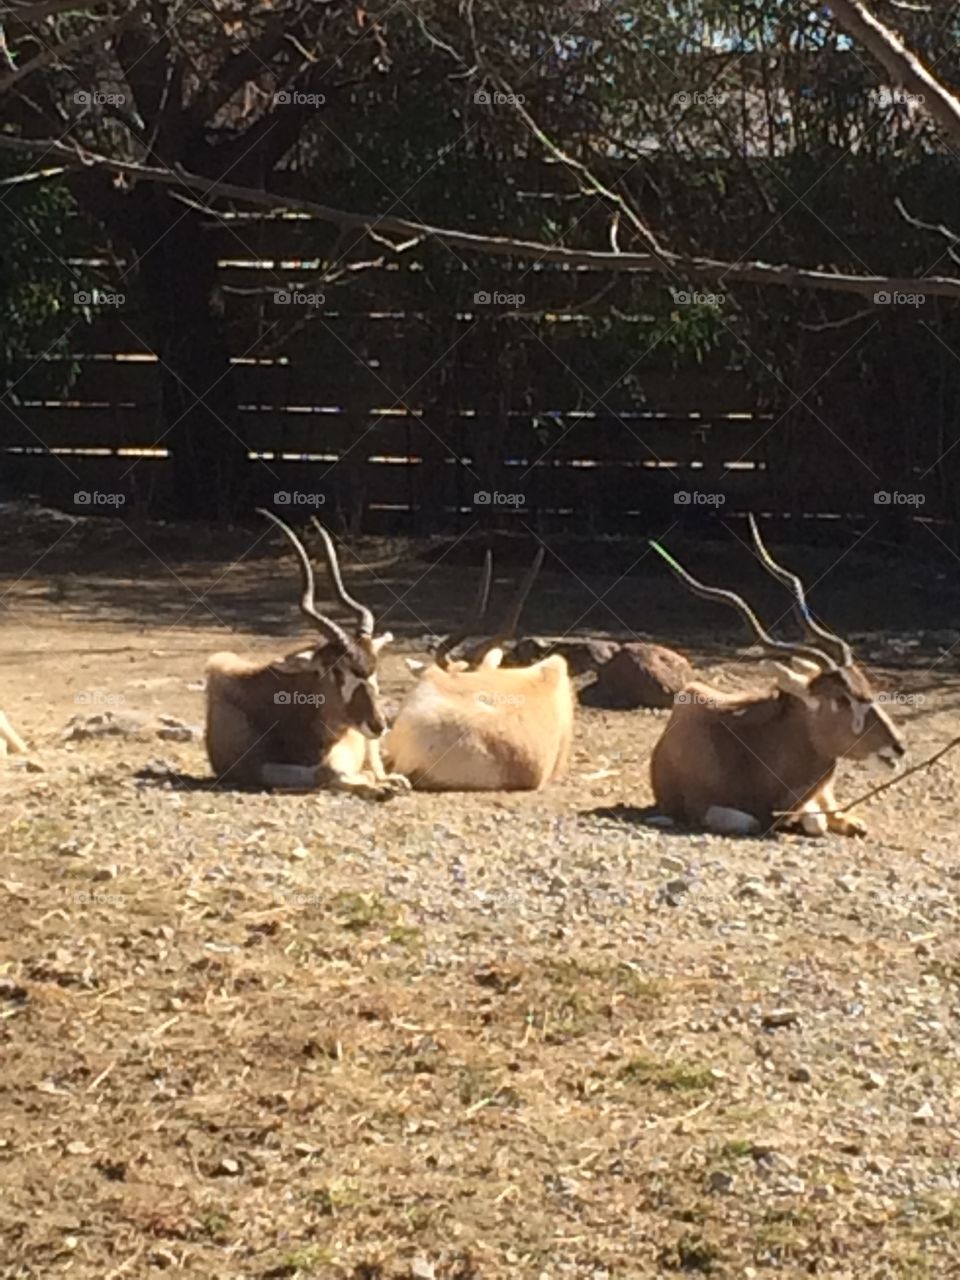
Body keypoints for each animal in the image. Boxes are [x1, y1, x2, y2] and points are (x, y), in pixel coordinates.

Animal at [204, 510, 410, 799]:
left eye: (374, 668)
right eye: (336, 670)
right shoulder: (253, 768)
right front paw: (372, 786)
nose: (378, 724)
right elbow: (326, 771)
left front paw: (380, 783)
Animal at [648, 516, 905, 837]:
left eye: (866, 688)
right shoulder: (699, 808)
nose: (898, 746)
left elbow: (816, 820)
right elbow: (752, 821)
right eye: (842, 699)